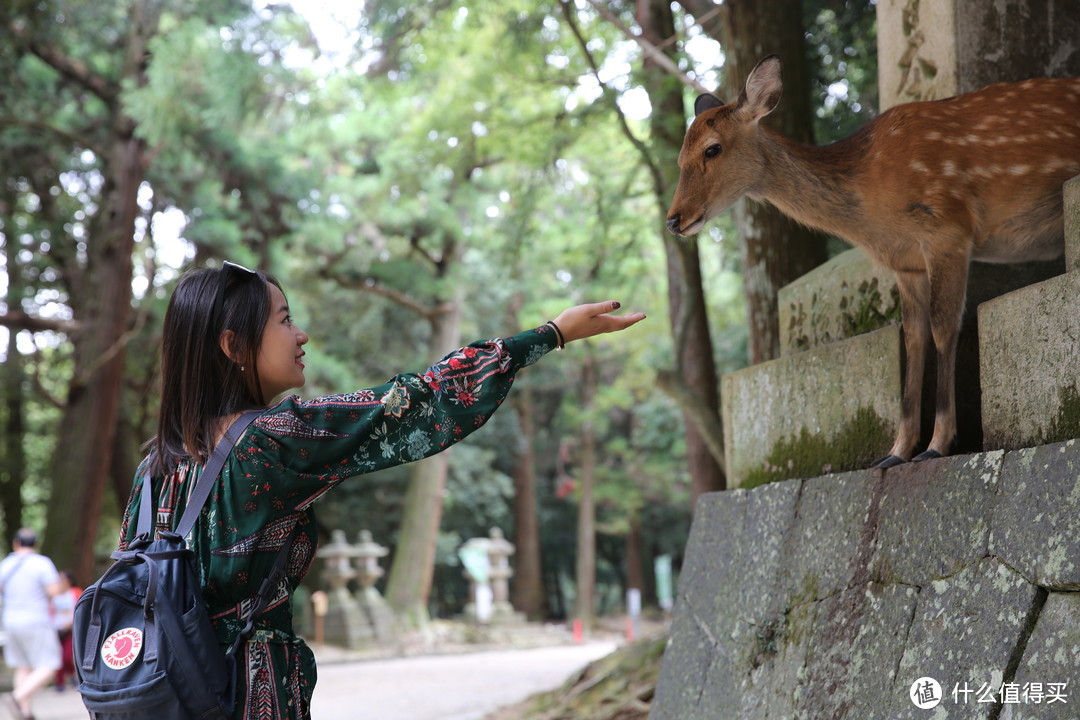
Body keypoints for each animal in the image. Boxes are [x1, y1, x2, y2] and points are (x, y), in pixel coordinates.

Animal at [665, 56, 1080, 468]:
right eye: (679, 158)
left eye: (712, 149)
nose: (673, 219)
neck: (870, 211)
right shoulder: (905, 262)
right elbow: (913, 338)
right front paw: (896, 452)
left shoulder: (947, 230)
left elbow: (944, 328)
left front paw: (937, 444)